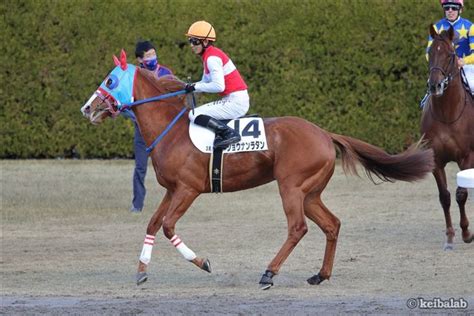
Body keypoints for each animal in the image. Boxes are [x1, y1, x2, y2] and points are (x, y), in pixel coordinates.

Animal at [80, 51, 434, 288]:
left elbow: (167, 226)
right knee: (331, 225)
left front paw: (203, 262)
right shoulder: (172, 190)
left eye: (110, 80)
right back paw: (320, 275)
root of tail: (324, 133)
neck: (173, 131)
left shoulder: (188, 190)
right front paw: (141, 271)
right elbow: (153, 223)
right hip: (310, 193)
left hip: (291, 187)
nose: (86, 108)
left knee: (298, 228)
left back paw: (269, 273)